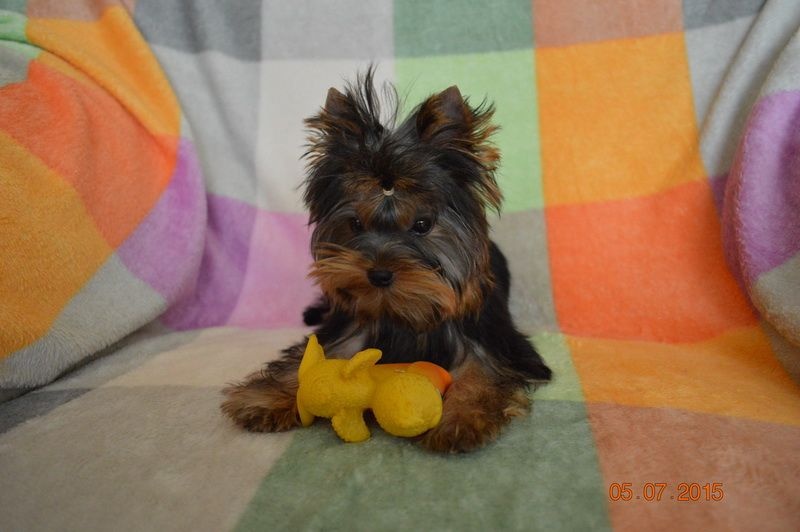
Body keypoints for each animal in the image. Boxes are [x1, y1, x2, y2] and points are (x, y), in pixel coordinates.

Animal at [221, 70, 552, 453]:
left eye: (422, 224)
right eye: (355, 224)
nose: (379, 274)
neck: (401, 312)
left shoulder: (493, 341)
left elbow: (481, 371)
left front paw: (461, 418)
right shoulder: (349, 328)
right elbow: (311, 358)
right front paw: (267, 398)